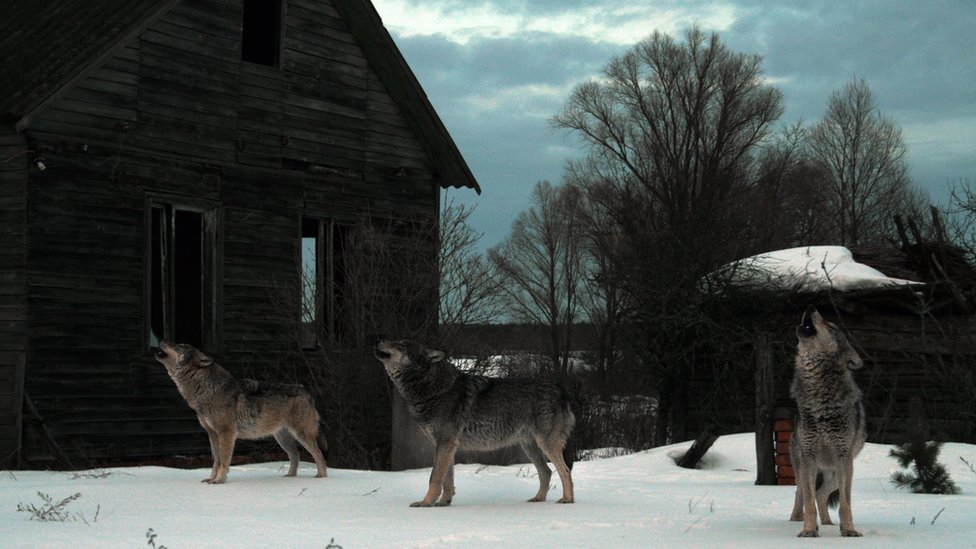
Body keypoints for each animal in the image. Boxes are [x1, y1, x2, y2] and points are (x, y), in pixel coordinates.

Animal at [154, 340, 330, 482]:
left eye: (180, 345)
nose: (161, 340)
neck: (207, 390)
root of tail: (306, 391)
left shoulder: (227, 433)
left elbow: (224, 461)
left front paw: (219, 481)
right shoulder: (212, 433)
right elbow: (216, 460)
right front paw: (211, 479)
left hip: (302, 435)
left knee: (319, 455)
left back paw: (320, 478)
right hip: (283, 439)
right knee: (296, 455)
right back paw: (290, 477)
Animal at [372, 338, 572, 506]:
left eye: (402, 344)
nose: (379, 340)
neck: (432, 388)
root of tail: (561, 391)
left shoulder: (445, 443)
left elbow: (434, 478)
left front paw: (425, 503)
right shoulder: (447, 446)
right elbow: (447, 480)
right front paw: (443, 503)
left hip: (546, 445)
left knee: (565, 471)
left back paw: (567, 500)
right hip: (530, 447)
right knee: (546, 472)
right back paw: (538, 499)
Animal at [788, 306, 864, 536]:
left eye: (831, 326)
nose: (811, 307)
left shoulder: (843, 457)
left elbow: (846, 504)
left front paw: (848, 530)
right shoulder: (809, 456)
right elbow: (809, 502)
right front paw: (808, 530)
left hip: (837, 473)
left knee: (821, 494)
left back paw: (829, 523)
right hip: (804, 466)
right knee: (801, 493)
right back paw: (796, 519)